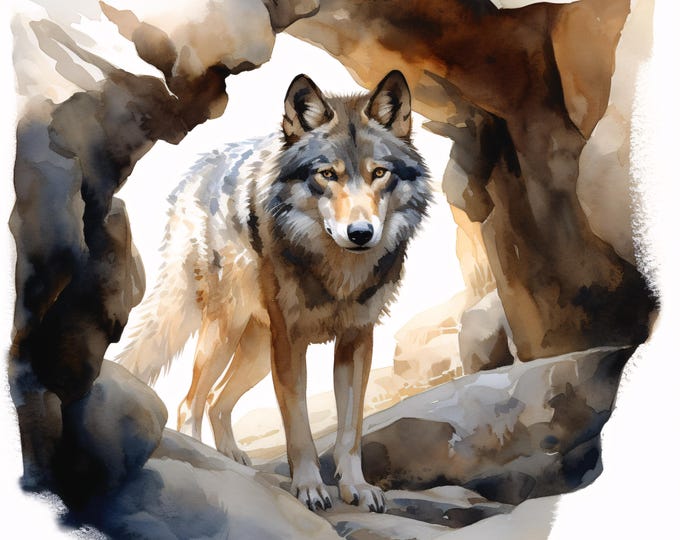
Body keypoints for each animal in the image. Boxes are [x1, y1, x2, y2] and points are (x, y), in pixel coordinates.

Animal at [117, 70, 431, 512]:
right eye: (327, 174)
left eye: (380, 173)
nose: (360, 233)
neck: (338, 275)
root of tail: (197, 173)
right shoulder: (289, 343)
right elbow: (298, 426)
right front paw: (310, 487)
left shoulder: (357, 340)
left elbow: (350, 429)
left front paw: (357, 486)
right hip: (226, 333)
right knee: (189, 402)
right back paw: (210, 462)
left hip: (254, 351)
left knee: (216, 400)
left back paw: (232, 456)